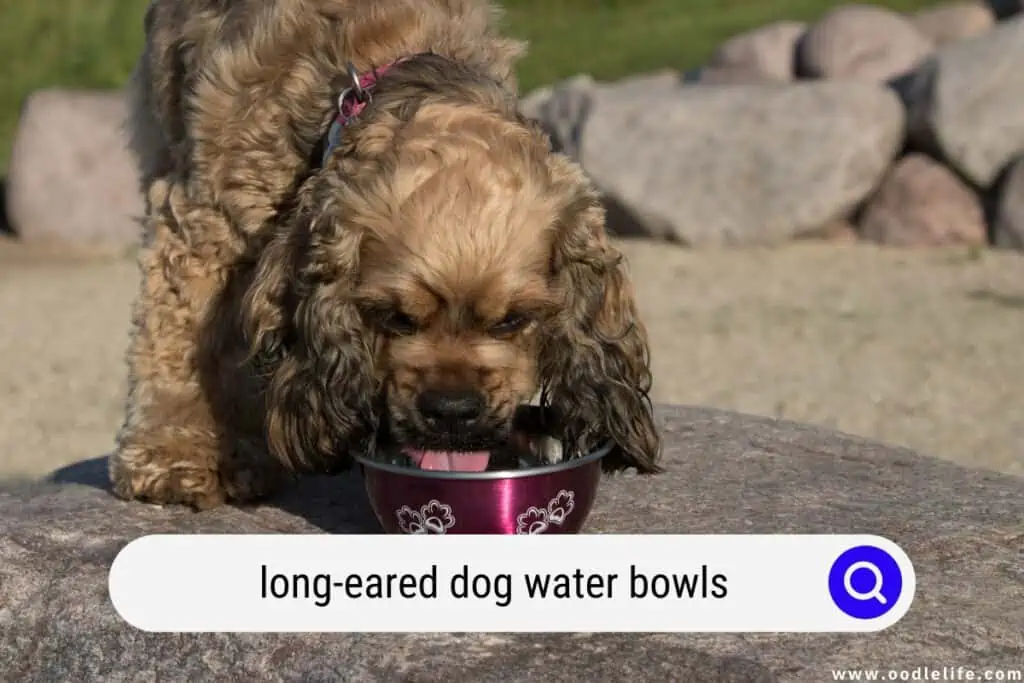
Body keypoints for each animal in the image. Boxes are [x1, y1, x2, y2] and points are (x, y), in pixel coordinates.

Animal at [112, 0, 663, 509]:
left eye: (513, 321)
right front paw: (184, 455)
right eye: (395, 317)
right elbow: (185, 337)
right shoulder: (205, 218)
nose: (451, 409)